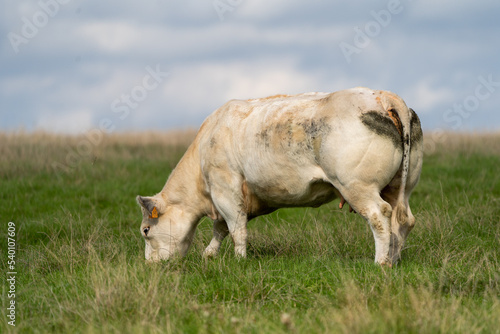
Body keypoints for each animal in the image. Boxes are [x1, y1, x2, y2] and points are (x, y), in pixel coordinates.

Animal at [137, 87, 422, 264]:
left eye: (146, 230)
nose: (150, 265)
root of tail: (383, 96)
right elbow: (222, 229)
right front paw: (209, 255)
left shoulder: (225, 187)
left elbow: (236, 229)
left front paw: (239, 260)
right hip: (400, 187)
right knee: (403, 220)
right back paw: (394, 259)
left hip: (358, 186)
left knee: (379, 216)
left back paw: (381, 262)